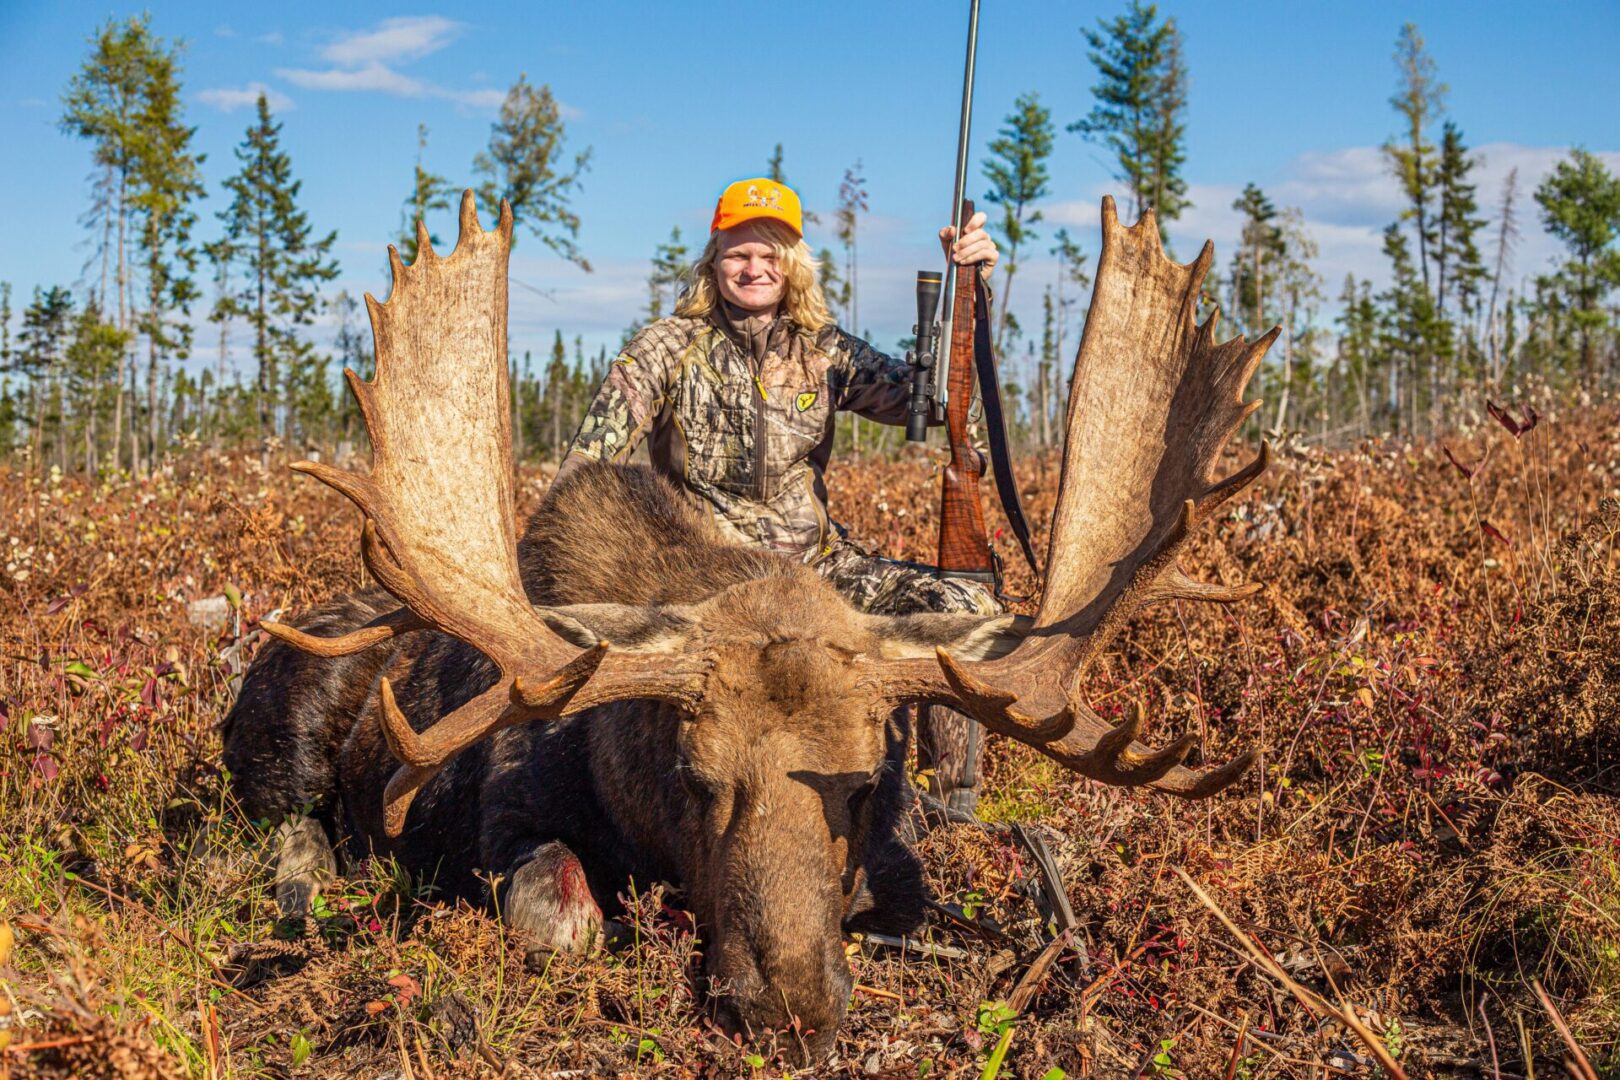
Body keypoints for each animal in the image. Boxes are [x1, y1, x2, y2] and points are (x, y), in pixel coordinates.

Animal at [221, 190, 1276, 1062]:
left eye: (866, 783)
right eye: (696, 779)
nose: (786, 1012)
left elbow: (906, 894)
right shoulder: (501, 819)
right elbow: (563, 915)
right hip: (290, 731)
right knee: (289, 822)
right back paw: (307, 884)